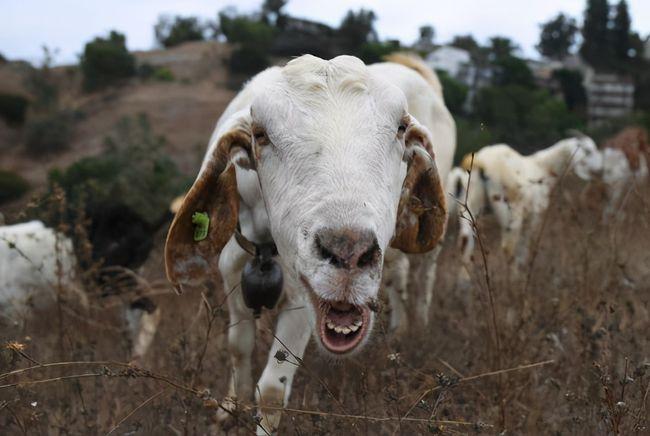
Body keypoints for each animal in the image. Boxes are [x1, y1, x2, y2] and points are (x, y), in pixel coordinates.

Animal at [450, 137, 604, 266]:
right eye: (588, 151)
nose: (600, 169)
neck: (543, 167)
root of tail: (480, 161)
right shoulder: (534, 217)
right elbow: (524, 249)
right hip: (510, 212)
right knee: (508, 248)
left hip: (469, 203)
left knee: (464, 243)